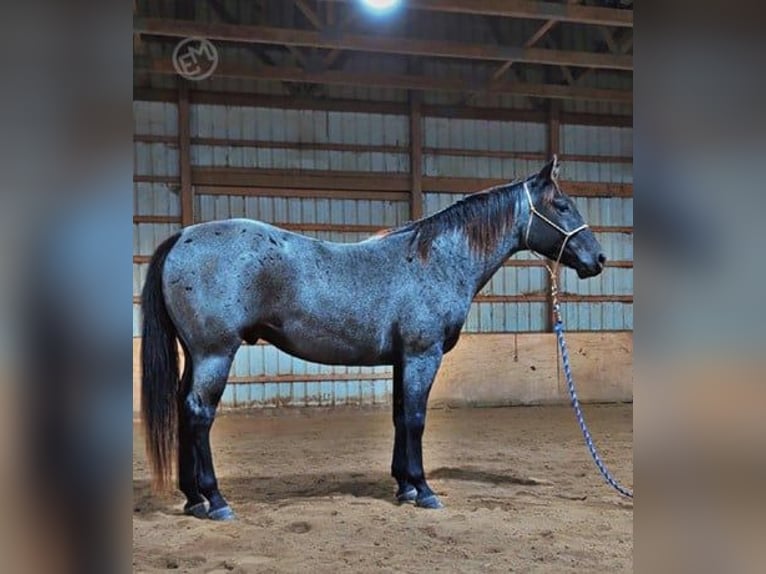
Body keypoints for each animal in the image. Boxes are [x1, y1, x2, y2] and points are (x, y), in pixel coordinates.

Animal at [141, 156, 606, 520]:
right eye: (561, 205)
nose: (598, 258)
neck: (435, 260)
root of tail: (182, 236)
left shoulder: (404, 360)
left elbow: (401, 416)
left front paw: (405, 487)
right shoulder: (422, 356)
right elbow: (416, 418)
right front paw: (425, 491)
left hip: (196, 355)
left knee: (184, 409)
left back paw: (193, 499)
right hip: (215, 354)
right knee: (199, 413)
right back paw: (215, 500)